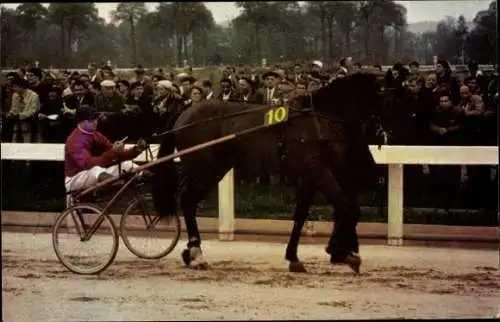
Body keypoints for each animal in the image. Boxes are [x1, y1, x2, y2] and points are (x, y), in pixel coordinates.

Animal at [152, 72, 386, 274]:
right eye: (386, 94)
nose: (370, 161)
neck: (318, 121)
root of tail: (183, 115)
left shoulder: (310, 175)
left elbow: (303, 213)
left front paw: (296, 256)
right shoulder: (318, 169)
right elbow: (346, 207)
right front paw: (343, 253)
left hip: (212, 170)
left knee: (187, 201)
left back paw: (190, 253)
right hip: (204, 171)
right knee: (187, 202)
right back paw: (196, 253)